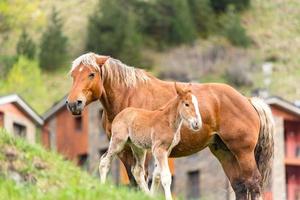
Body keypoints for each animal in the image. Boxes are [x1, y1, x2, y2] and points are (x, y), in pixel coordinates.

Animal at [66, 52, 274, 199]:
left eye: (91, 74)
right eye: (73, 75)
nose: (73, 103)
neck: (128, 95)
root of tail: (247, 100)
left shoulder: (146, 150)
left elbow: (147, 176)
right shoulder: (124, 149)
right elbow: (134, 180)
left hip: (243, 152)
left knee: (253, 183)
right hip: (225, 153)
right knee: (239, 185)